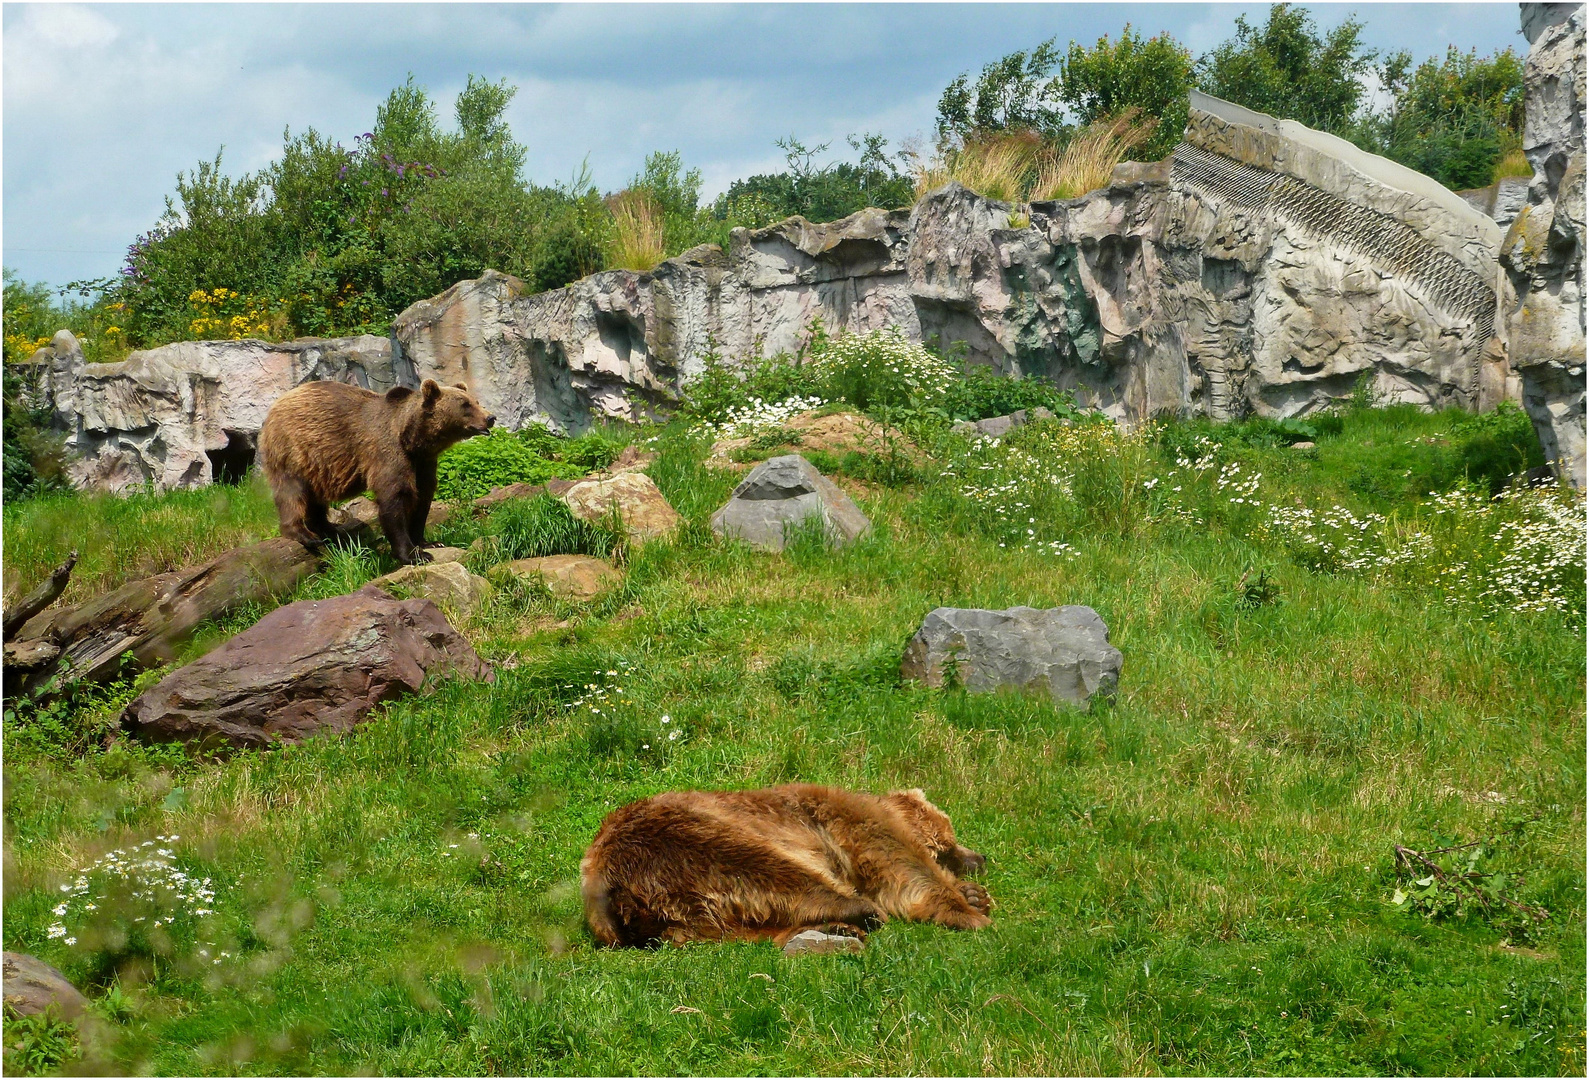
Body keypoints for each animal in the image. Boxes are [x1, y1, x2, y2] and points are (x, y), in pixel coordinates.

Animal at [257, 379, 492, 565]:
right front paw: (413, 555)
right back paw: (304, 534)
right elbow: (394, 499)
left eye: (476, 401)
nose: (490, 418)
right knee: (291, 491)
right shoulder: (388, 454)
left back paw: (330, 529)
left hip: (320, 465)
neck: (411, 439)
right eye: (465, 404)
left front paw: (429, 543)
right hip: (293, 448)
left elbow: (423, 498)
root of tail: (277, 403)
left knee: (316, 497)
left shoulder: (424, 462)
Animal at [578, 784, 985, 946]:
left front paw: (974, 895)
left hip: (680, 918)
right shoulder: (842, 819)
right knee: (773, 872)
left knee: (735, 931)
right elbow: (899, 863)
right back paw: (857, 912)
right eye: (949, 843)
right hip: (687, 842)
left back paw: (837, 928)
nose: (979, 858)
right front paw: (968, 911)